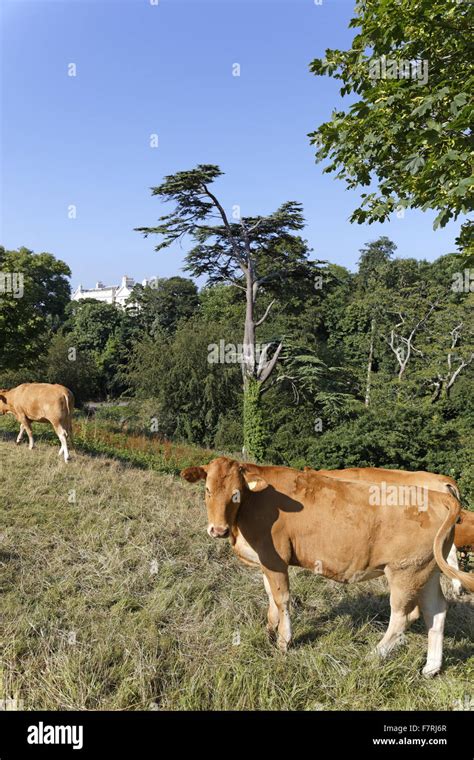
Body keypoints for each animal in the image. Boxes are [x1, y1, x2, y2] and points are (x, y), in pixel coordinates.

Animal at [182, 458, 474, 676]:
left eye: (236, 494)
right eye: (207, 490)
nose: (217, 530)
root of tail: (437, 496)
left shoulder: (274, 557)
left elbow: (282, 598)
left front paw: (284, 641)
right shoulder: (265, 560)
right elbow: (270, 596)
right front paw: (269, 629)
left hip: (405, 572)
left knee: (403, 617)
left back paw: (373, 655)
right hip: (427, 571)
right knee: (436, 612)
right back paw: (431, 668)